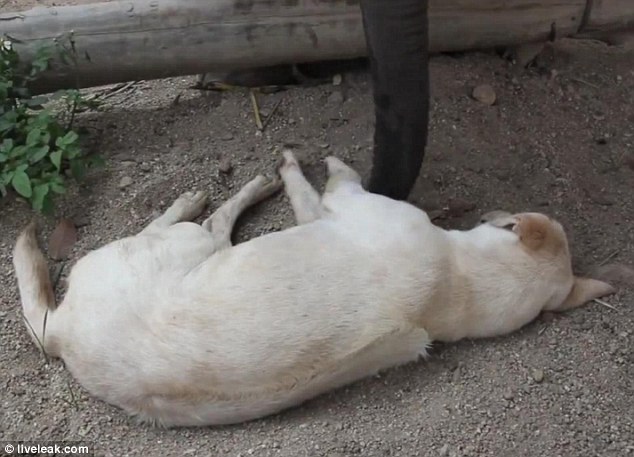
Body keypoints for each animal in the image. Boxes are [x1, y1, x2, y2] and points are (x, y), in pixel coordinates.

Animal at [11, 151, 612, 426]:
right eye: (510, 218)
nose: (493, 212)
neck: (459, 282)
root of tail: (60, 333)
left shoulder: (337, 208)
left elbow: (318, 187)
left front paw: (304, 165)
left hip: (184, 246)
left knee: (204, 223)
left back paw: (213, 194)